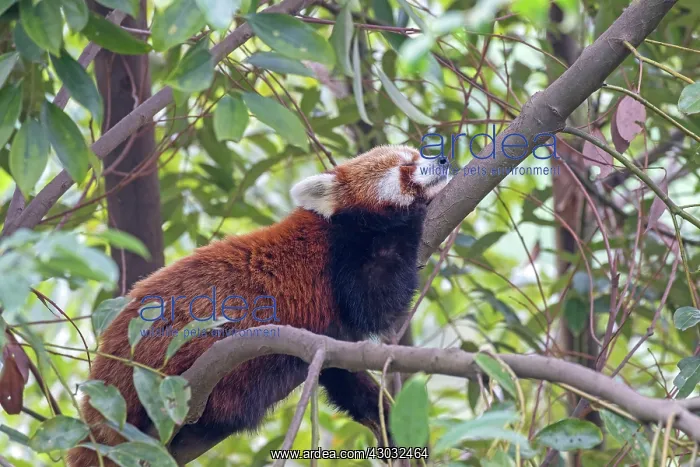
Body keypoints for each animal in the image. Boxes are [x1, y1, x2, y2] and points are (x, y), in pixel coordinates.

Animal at [67, 145, 448, 466]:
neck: (336, 224)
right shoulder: (341, 262)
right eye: (406, 165)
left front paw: (386, 418)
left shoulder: (332, 339)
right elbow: (375, 302)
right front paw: (415, 212)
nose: (443, 159)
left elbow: (344, 373)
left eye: (419, 151)